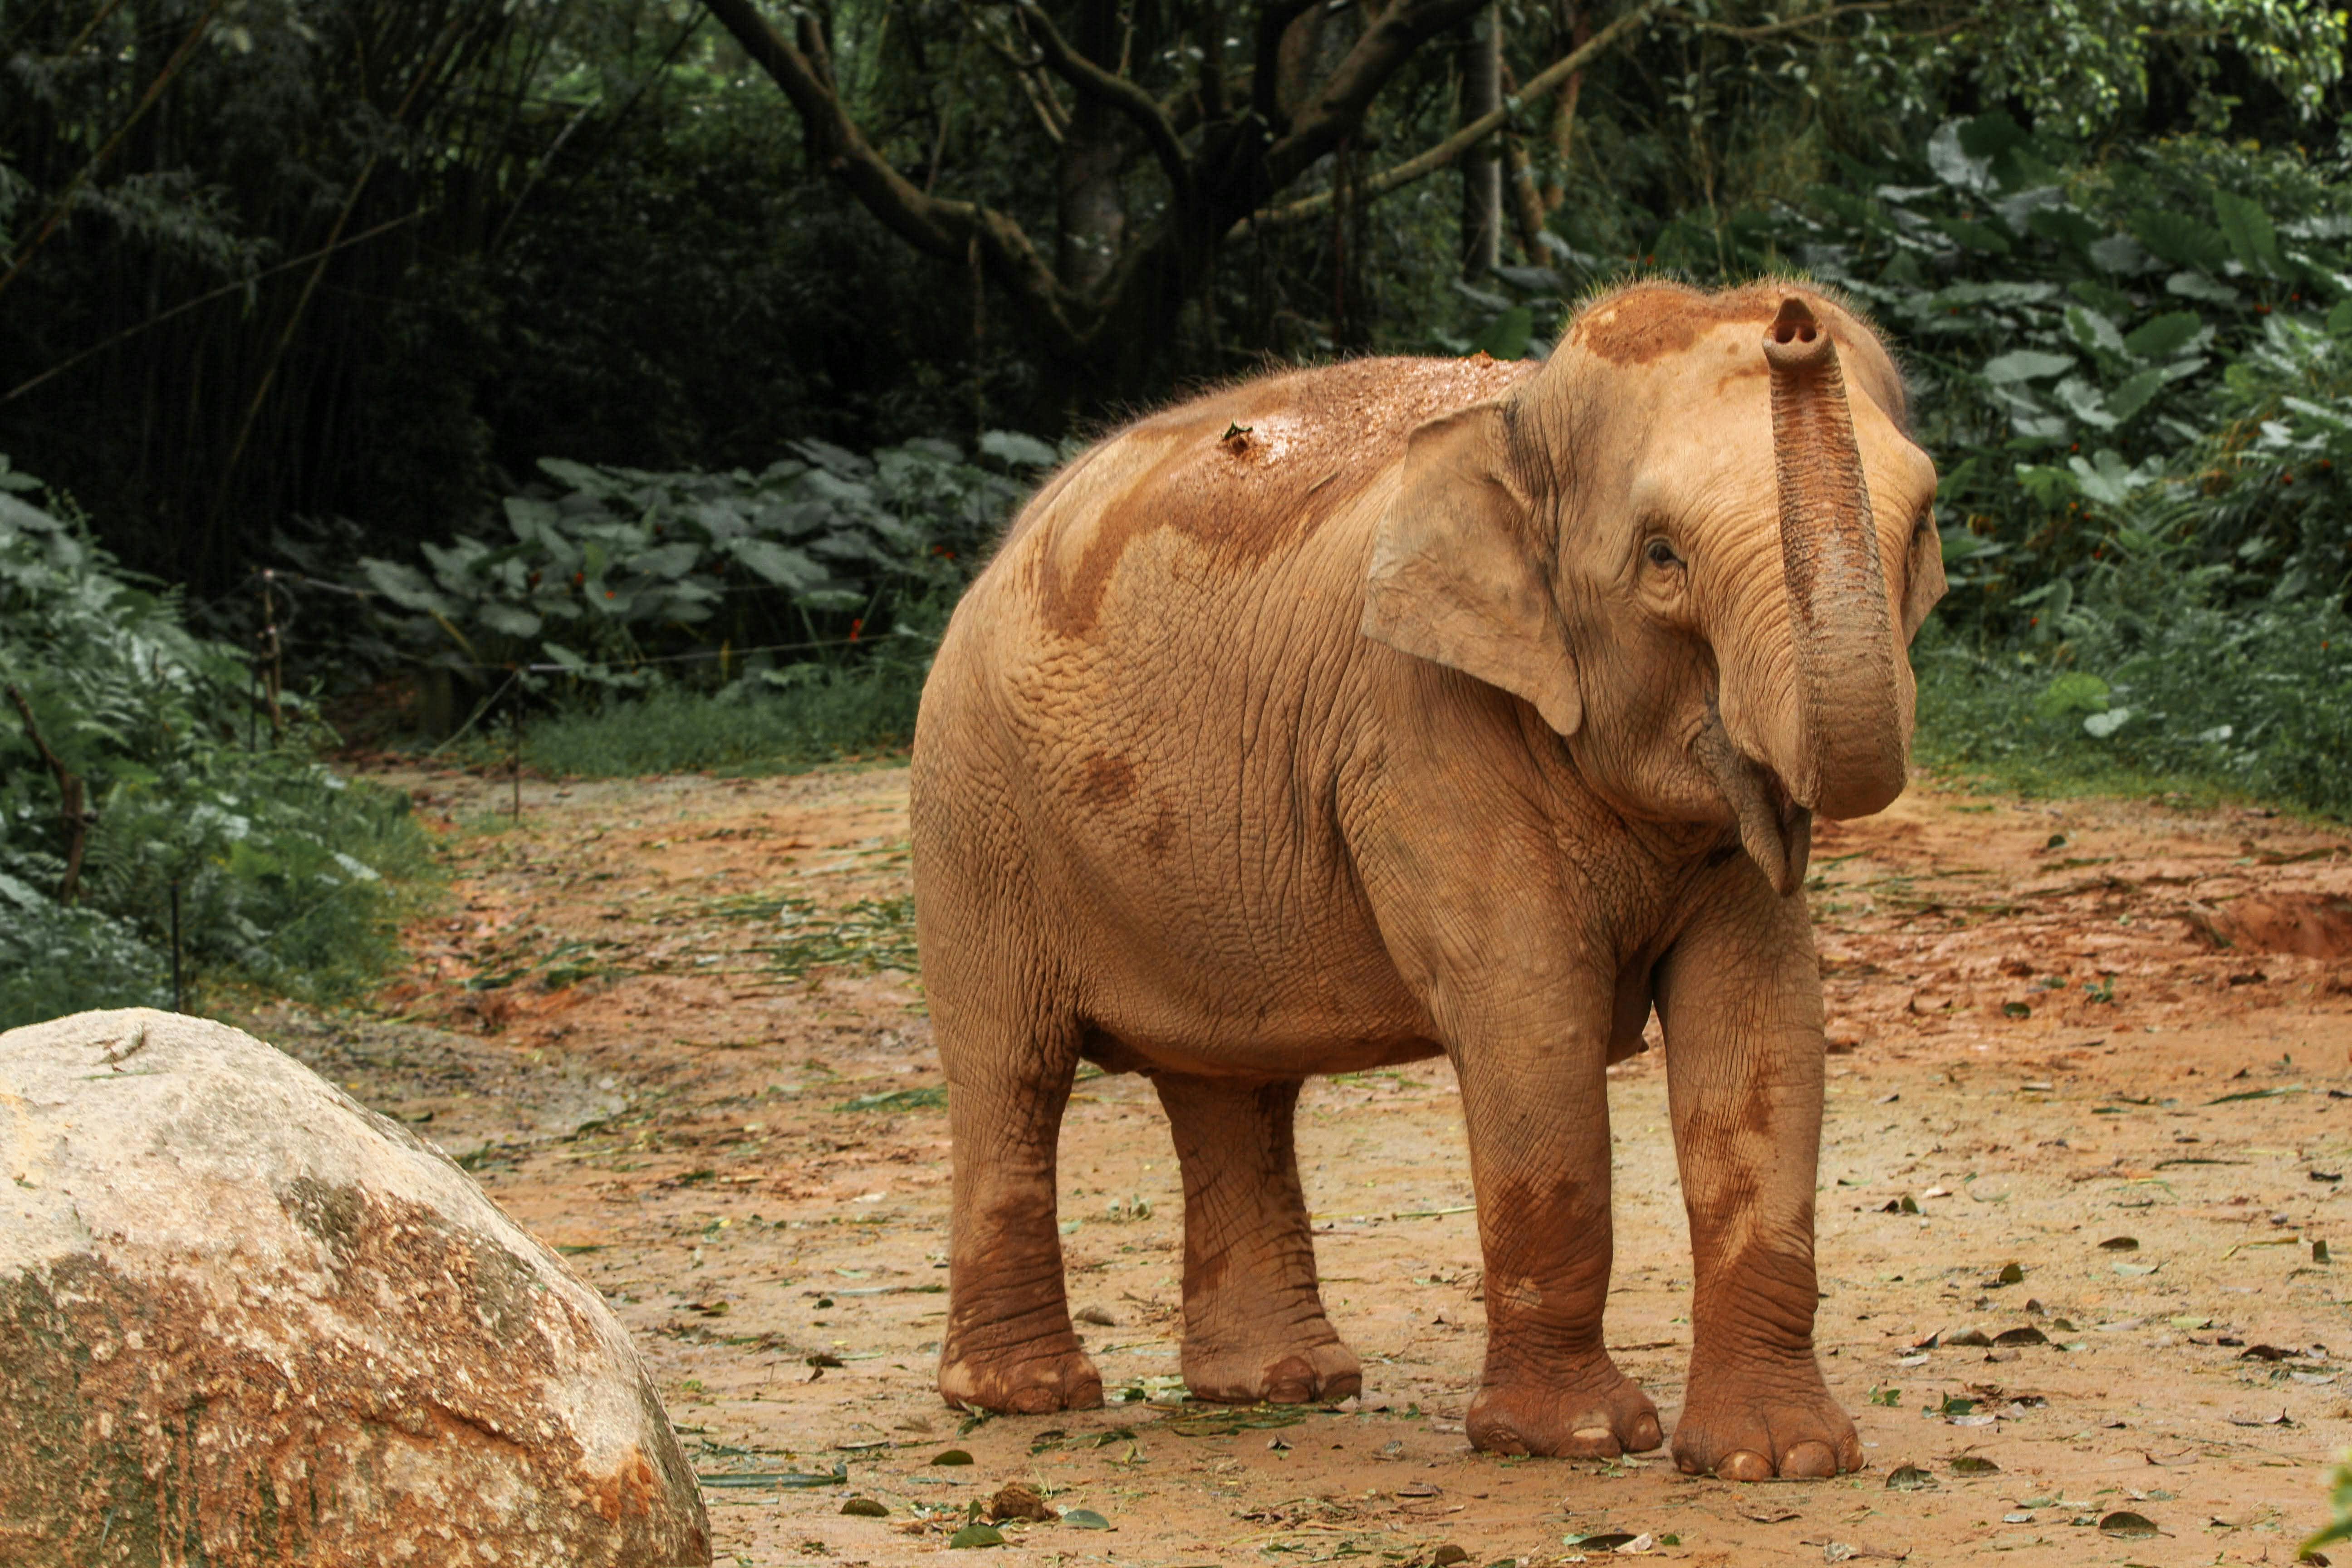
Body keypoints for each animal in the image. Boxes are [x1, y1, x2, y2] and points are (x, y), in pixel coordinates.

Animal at [908, 285, 1938, 1485]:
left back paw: (1280, 1387)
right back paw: (1024, 1397)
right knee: (1011, 1075)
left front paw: (1779, 1460)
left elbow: (1762, 1024)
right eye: (1661, 556)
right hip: (972, 819)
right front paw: (1574, 1442)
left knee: (1227, 1088)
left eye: (1924, 530)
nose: (1791, 319)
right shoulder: (1416, 724)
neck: (1521, 416)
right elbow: (1529, 1019)